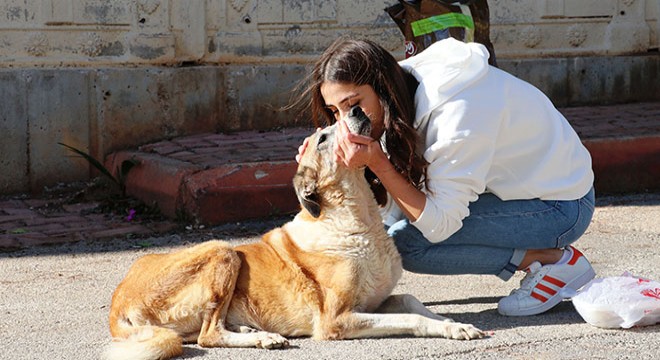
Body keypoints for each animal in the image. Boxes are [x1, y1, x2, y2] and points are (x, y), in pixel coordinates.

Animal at [104, 106, 484, 360]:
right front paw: (448, 327)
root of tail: (118, 300)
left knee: (204, 331)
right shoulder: (336, 321)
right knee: (207, 336)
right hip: (222, 250)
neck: (356, 219)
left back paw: (258, 333)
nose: (357, 108)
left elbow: (411, 301)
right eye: (323, 137)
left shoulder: (377, 301)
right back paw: (260, 339)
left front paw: (454, 323)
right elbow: (411, 317)